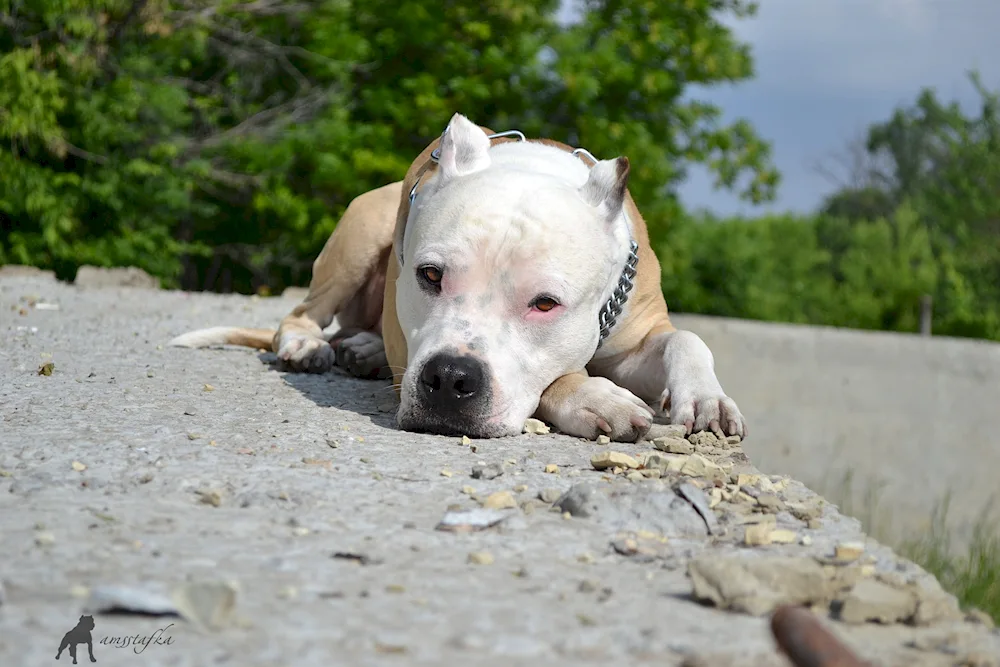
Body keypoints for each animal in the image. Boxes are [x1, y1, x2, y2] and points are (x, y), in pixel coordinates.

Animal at [172, 115, 748, 444]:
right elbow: (556, 378)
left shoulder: (635, 339)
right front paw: (594, 398)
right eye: (429, 275)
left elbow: (686, 338)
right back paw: (307, 344)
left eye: (545, 304)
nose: (450, 378)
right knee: (301, 314)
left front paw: (707, 398)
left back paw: (364, 350)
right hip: (362, 226)